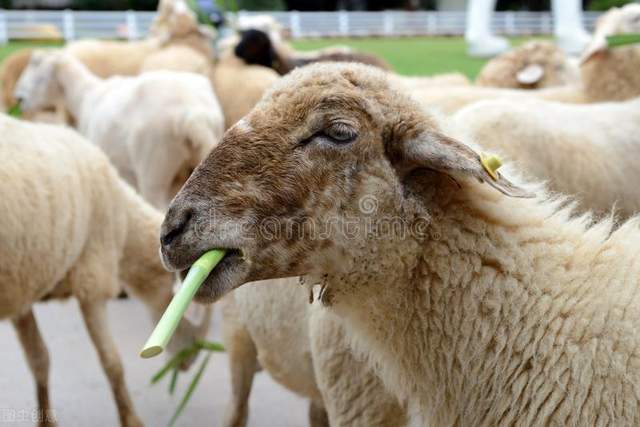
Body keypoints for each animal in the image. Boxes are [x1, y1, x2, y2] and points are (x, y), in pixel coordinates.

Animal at [0, 113, 210, 427]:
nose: (188, 364)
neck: (124, 226)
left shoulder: (25, 286)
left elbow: (39, 359)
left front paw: (46, 420)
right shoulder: (93, 278)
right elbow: (112, 361)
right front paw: (131, 418)